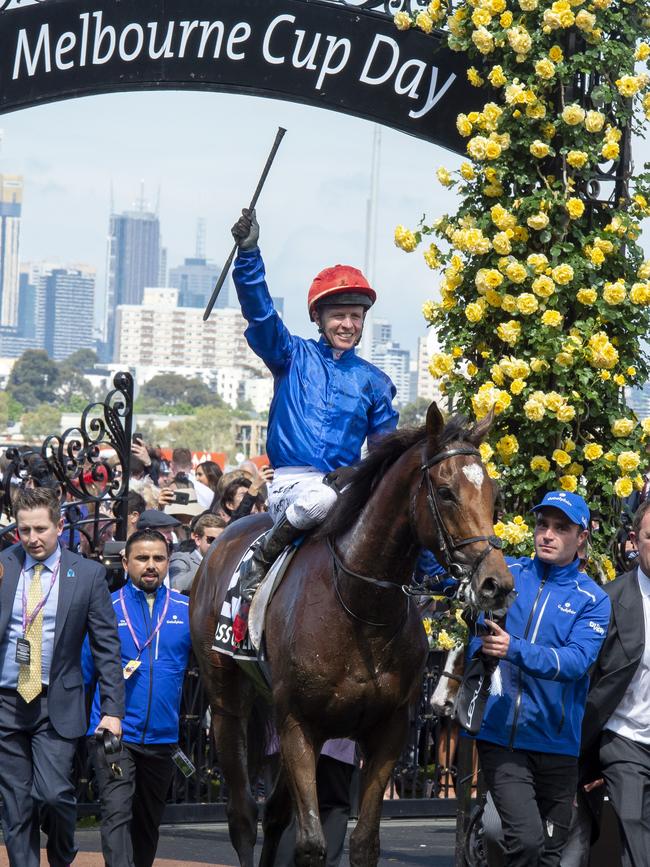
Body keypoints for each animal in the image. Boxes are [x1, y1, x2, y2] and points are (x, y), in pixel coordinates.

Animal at [187, 406, 512, 867]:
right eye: (447, 492)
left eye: (494, 496)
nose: (495, 584)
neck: (360, 609)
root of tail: (224, 538)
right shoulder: (299, 725)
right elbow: (311, 844)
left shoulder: (388, 730)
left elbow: (363, 843)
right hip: (226, 702)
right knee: (243, 814)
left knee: (276, 813)